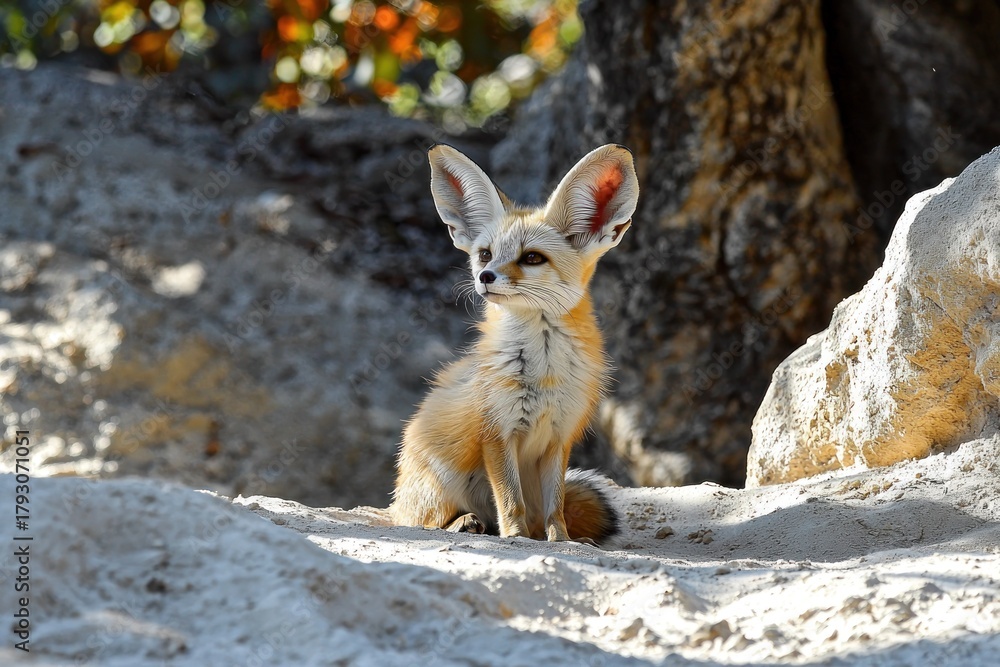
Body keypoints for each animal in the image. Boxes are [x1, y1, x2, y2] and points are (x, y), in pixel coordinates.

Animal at [389, 143, 639, 545]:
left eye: (532, 258)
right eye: (485, 254)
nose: (485, 276)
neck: (544, 371)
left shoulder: (559, 437)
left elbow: (555, 507)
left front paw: (562, 541)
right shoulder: (496, 431)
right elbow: (509, 501)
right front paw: (515, 537)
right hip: (440, 481)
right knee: (417, 521)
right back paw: (463, 522)